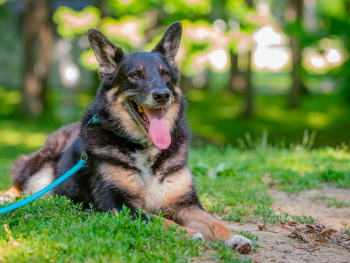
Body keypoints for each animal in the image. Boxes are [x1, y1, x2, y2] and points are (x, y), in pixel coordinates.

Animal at [0, 22, 252, 254]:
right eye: (135, 76)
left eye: (165, 74)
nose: (163, 95)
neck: (145, 148)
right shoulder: (119, 205)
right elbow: (158, 219)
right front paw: (187, 233)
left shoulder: (185, 204)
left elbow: (213, 221)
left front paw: (235, 237)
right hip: (40, 161)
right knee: (20, 178)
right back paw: (7, 197)